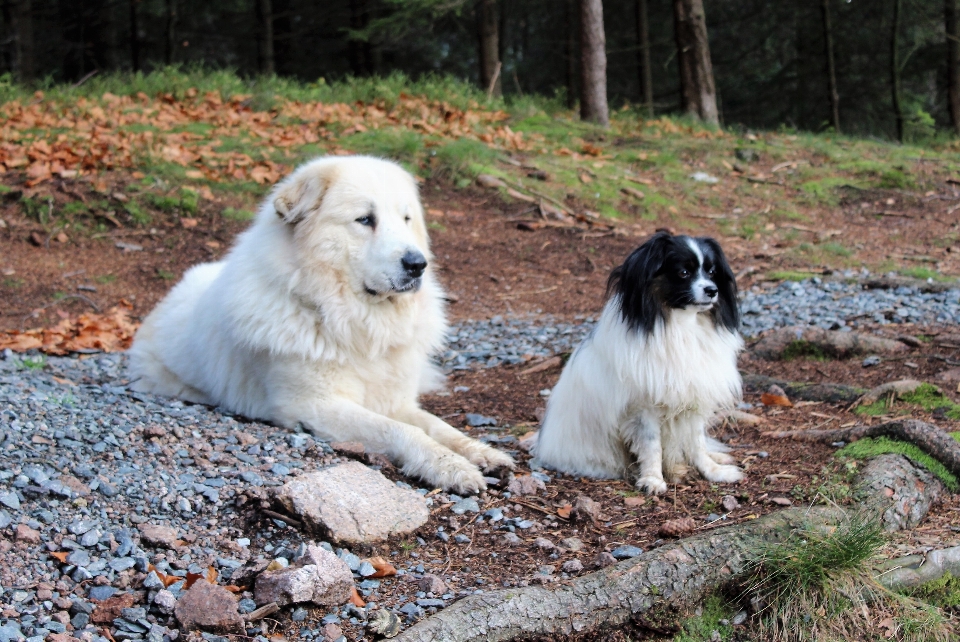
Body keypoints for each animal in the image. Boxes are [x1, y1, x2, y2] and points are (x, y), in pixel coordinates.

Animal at [132, 154, 516, 490]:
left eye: (406, 219)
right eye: (365, 220)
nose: (417, 264)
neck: (354, 319)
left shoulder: (397, 402)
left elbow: (439, 427)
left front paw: (481, 452)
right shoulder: (315, 406)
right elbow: (402, 431)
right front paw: (448, 467)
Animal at [536, 230, 748, 490]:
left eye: (711, 272)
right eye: (683, 272)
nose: (712, 290)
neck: (681, 325)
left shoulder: (693, 397)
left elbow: (696, 442)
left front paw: (713, 471)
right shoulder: (642, 408)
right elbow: (651, 446)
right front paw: (653, 479)